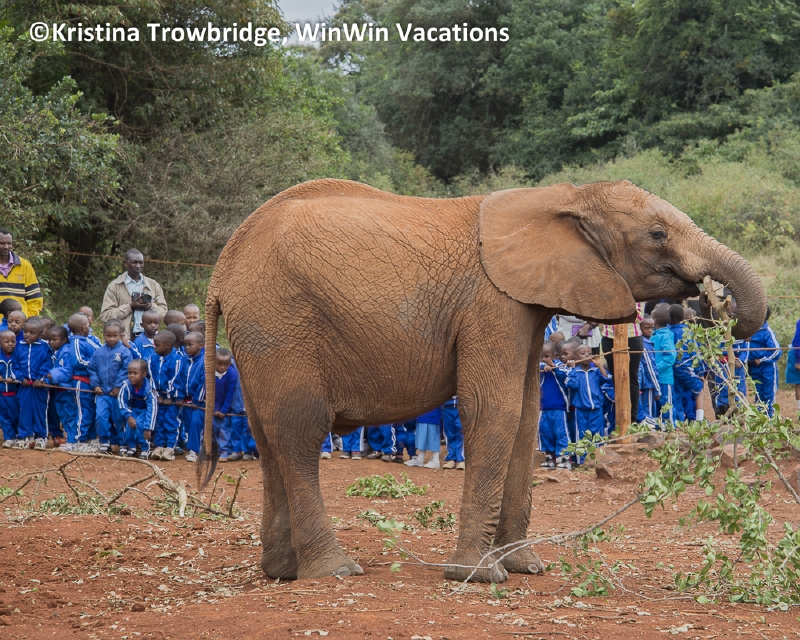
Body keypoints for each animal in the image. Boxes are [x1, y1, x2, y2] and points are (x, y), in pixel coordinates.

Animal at [198, 178, 766, 582]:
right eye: (657, 234)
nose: (707, 303)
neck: (562, 195)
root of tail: (221, 270)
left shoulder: (528, 305)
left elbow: (527, 414)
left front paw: (526, 568)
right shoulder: (492, 303)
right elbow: (495, 408)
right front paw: (479, 576)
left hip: (261, 334)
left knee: (268, 434)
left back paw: (282, 573)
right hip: (281, 321)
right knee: (299, 432)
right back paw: (334, 571)